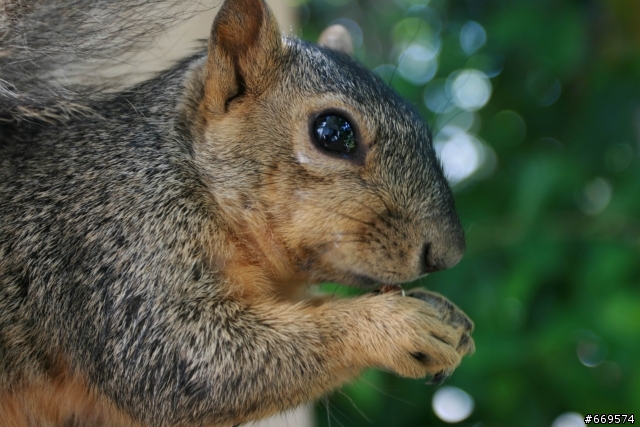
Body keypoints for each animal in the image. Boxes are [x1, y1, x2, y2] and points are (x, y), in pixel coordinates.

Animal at [0, 0, 474, 426]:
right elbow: (185, 360)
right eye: (333, 131)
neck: (194, 178)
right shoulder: (118, 251)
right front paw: (396, 324)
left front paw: (441, 309)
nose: (447, 253)